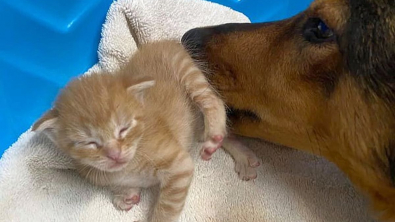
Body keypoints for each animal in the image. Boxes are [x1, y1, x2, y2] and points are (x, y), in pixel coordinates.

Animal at [33, 40, 229, 222]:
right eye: (90, 142)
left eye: (123, 129)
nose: (114, 154)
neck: (128, 169)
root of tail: (160, 41)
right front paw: (125, 196)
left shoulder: (180, 165)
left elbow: (166, 209)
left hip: (187, 71)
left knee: (212, 99)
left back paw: (212, 137)